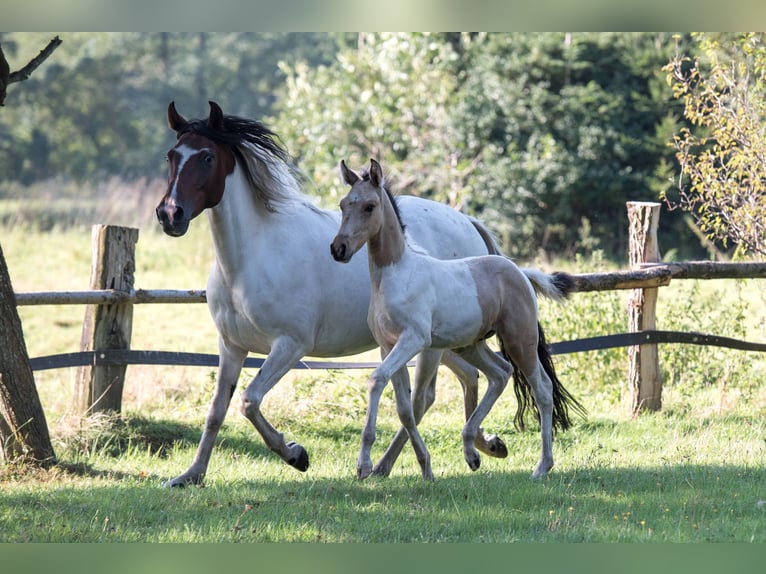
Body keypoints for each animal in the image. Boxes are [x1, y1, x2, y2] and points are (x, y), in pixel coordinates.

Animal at [332, 158, 588, 482]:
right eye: (343, 204)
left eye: (369, 206)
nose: (338, 249)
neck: (396, 273)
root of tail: (519, 272)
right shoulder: (387, 345)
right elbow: (404, 407)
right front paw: (424, 467)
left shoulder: (414, 340)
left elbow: (378, 380)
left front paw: (364, 464)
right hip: (471, 345)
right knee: (499, 373)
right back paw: (473, 452)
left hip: (520, 341)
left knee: (542, 389)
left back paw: (542, 466)